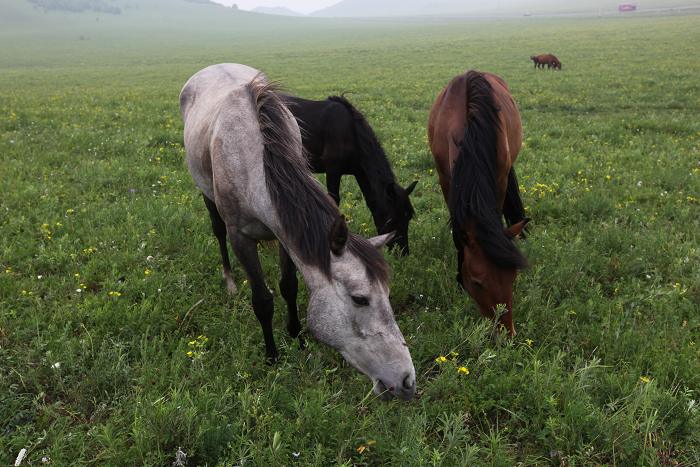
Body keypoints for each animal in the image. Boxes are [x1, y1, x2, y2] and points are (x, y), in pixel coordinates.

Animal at [284, 95, 416, 256]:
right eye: (393, 219)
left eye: (409, 217)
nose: (403, 252)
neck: (352, 133)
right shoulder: (333, 170)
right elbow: (334, 201)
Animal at [426, 70, 532, 336]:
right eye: (477, 283)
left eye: (513, 277)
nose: (507, 334)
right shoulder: (446, 180)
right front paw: (458, 280)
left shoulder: (500, 177)